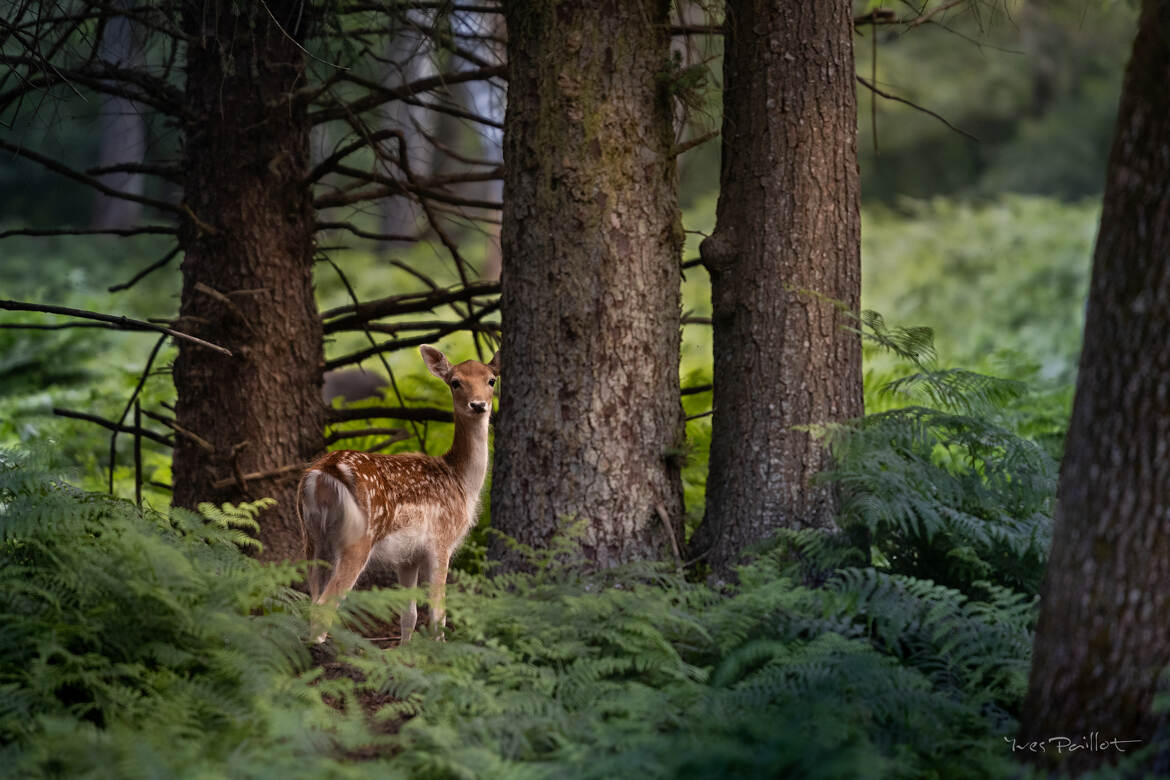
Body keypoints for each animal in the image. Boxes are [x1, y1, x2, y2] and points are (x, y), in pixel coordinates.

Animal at [297, 343, 498, 645]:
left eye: (491, 380)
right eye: (455, 382)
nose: (478, 405)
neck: (461, 482)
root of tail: (325, 473)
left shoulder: (407, 557)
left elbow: (409, 616)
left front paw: (404, 650)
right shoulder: (441, 541)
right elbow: (437, 615)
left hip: (311, 537)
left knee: (312, 599)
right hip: (358, 537)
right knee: (325, 604)